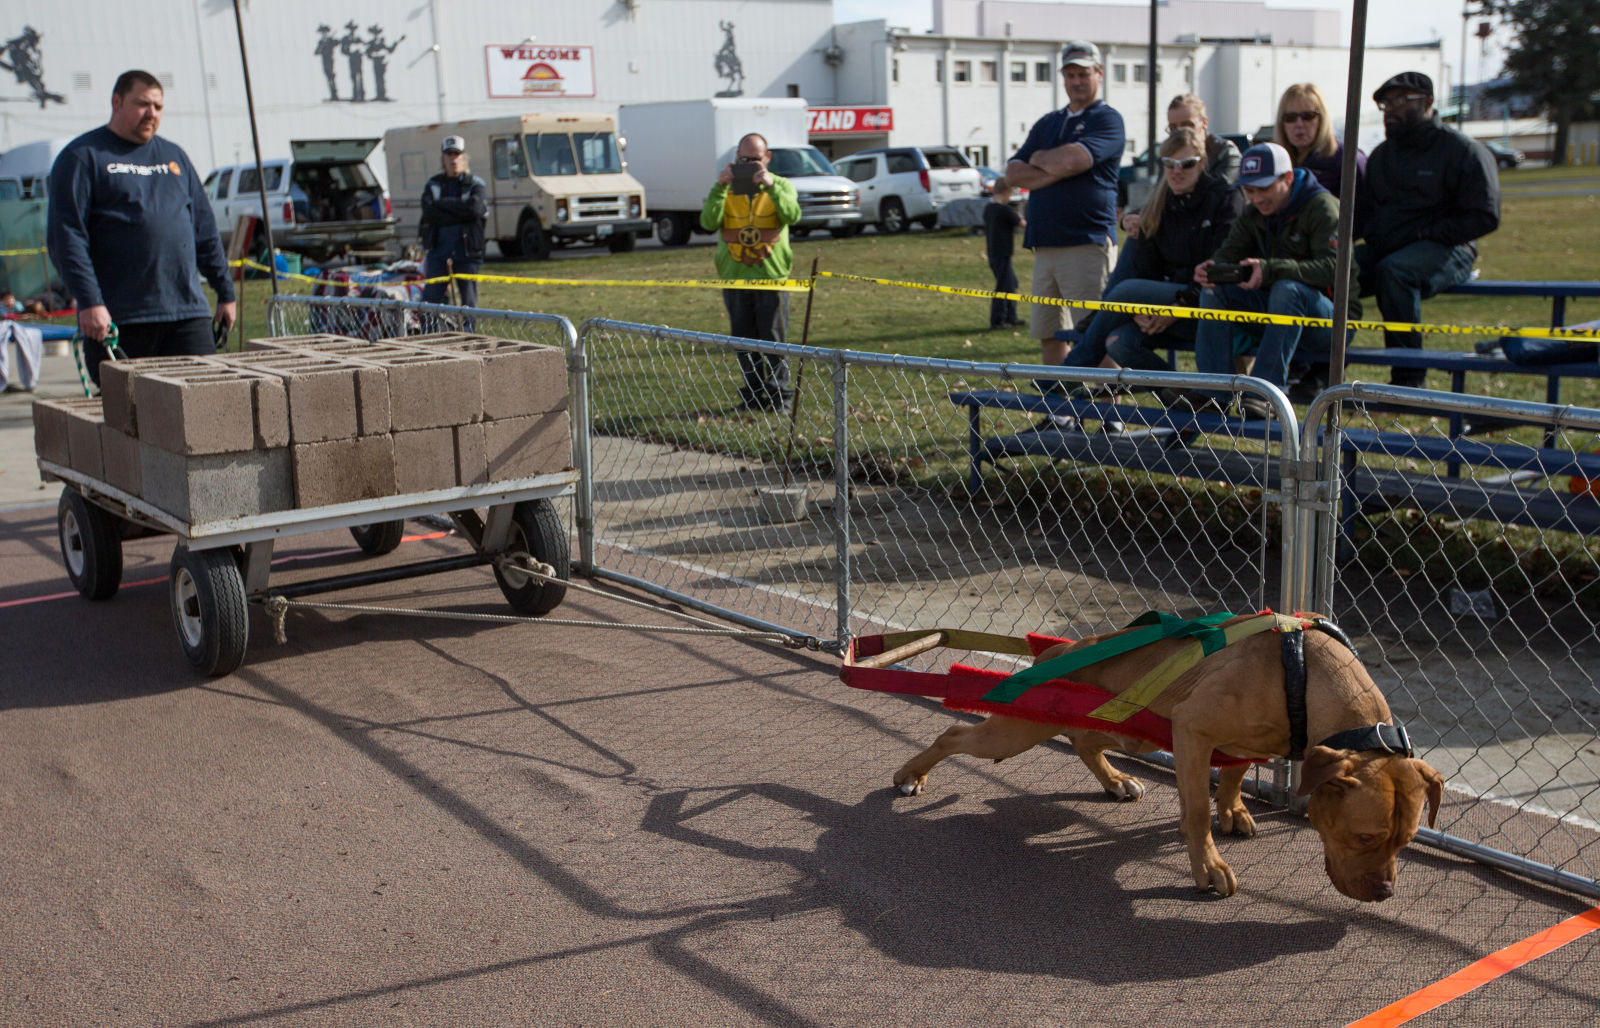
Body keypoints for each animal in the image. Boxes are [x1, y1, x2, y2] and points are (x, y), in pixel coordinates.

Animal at [896, 614, 1446, 896]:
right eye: (1364, 836)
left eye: (1406, 840)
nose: (1385, 892)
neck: (1306, 676)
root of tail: (1058, 650)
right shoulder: (1193, 730)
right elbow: (1196, 811)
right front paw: (1209, 866)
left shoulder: (1236, 746)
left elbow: (1231, 779)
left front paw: (1234, 810)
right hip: (1021, 727)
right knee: (954, 733)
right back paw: (911, 773)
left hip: (1123, 725)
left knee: (1085, 740)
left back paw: (1116, 781)